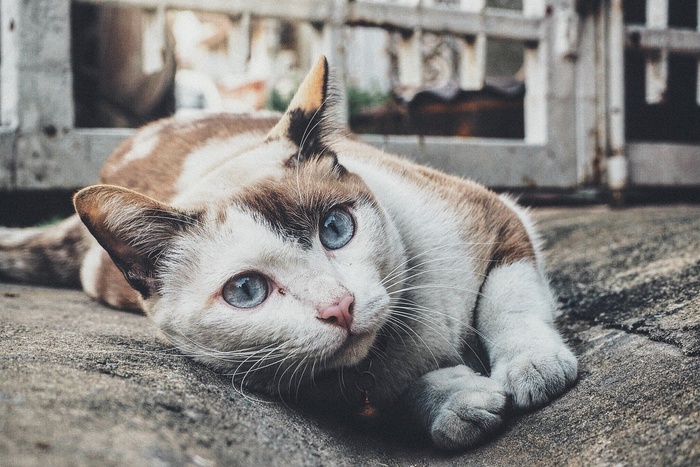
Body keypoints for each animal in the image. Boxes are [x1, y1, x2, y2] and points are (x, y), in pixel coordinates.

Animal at [0, 56, 576, 452]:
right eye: (246, 290)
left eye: (336, 229)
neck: (399, 342)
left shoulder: (492, 213)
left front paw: (532, 366)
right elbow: (396, 396)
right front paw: (455, 403)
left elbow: (508, 299)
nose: (340, 307)